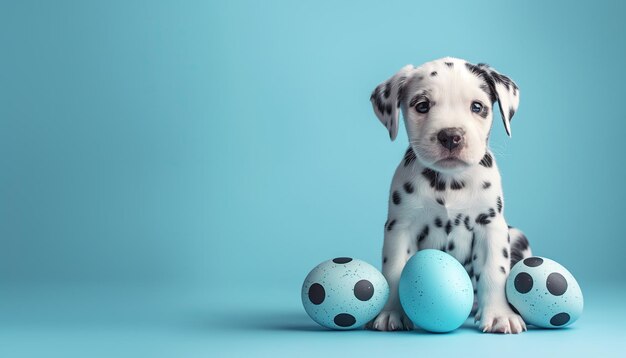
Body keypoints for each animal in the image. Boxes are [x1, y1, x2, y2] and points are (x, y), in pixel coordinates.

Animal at [366, 57, 532, 334]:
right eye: (422, 105)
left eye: (477, 107)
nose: (451, 136)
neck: (449, 183)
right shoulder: (400, 227)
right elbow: (395, 270)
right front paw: (392, 312)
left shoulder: (490, 226)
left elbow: (494, 272)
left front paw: (500, 314)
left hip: (518, 237)